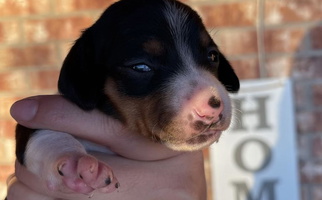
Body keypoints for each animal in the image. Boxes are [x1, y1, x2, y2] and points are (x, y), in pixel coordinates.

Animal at [13, 0, 239, 195]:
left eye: (213, 56)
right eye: (140, 67)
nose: (213, 106)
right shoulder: (32, 128)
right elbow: (45, 135)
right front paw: (74, 161)